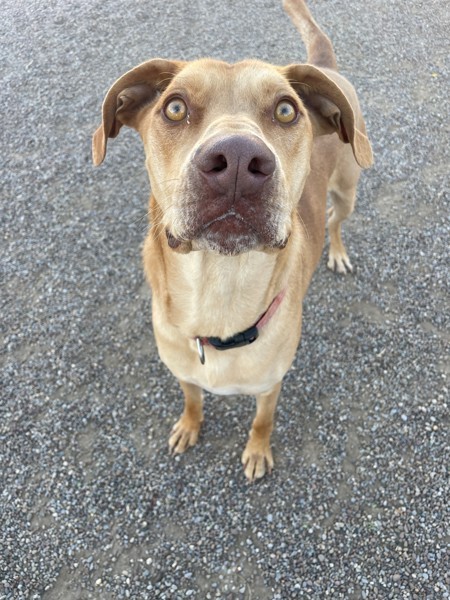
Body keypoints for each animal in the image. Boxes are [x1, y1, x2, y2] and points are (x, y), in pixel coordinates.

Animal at [92, 0, 372, 478]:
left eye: (285, 110)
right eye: (174, 108)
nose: (239, 159)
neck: (218, 293)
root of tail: (323, 66)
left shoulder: (270, 386)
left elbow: (262, 421)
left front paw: (257, 451)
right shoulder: (184, 372)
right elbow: (192, 400)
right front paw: (189, 426)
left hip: (348, 189)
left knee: (336, 221)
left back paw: (335, 251)